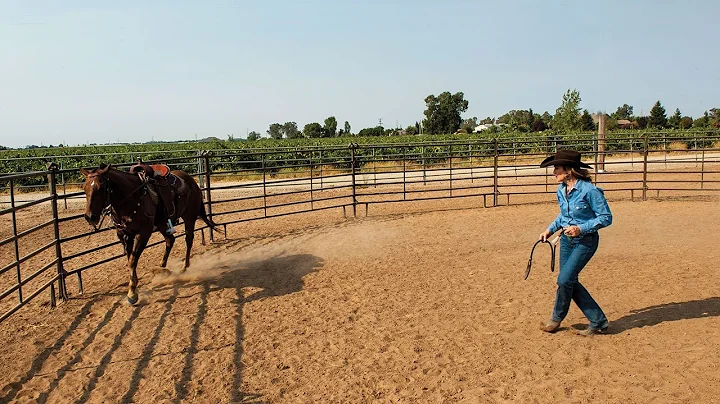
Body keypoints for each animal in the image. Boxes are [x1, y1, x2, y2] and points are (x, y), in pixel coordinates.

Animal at [80, 163, 221, 304]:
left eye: (101, 187)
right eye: (84, 188)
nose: (90, 217)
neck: (131, 197)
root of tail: (192, 181)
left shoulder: (142, 234)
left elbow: (132, 261)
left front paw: (132, 293)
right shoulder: (125, 235)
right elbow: (130, 259)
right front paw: (134, 283)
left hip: (189, 218)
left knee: (188, 240)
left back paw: (184, 267)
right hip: (162, 223)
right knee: (170, 240)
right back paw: (162, 268)